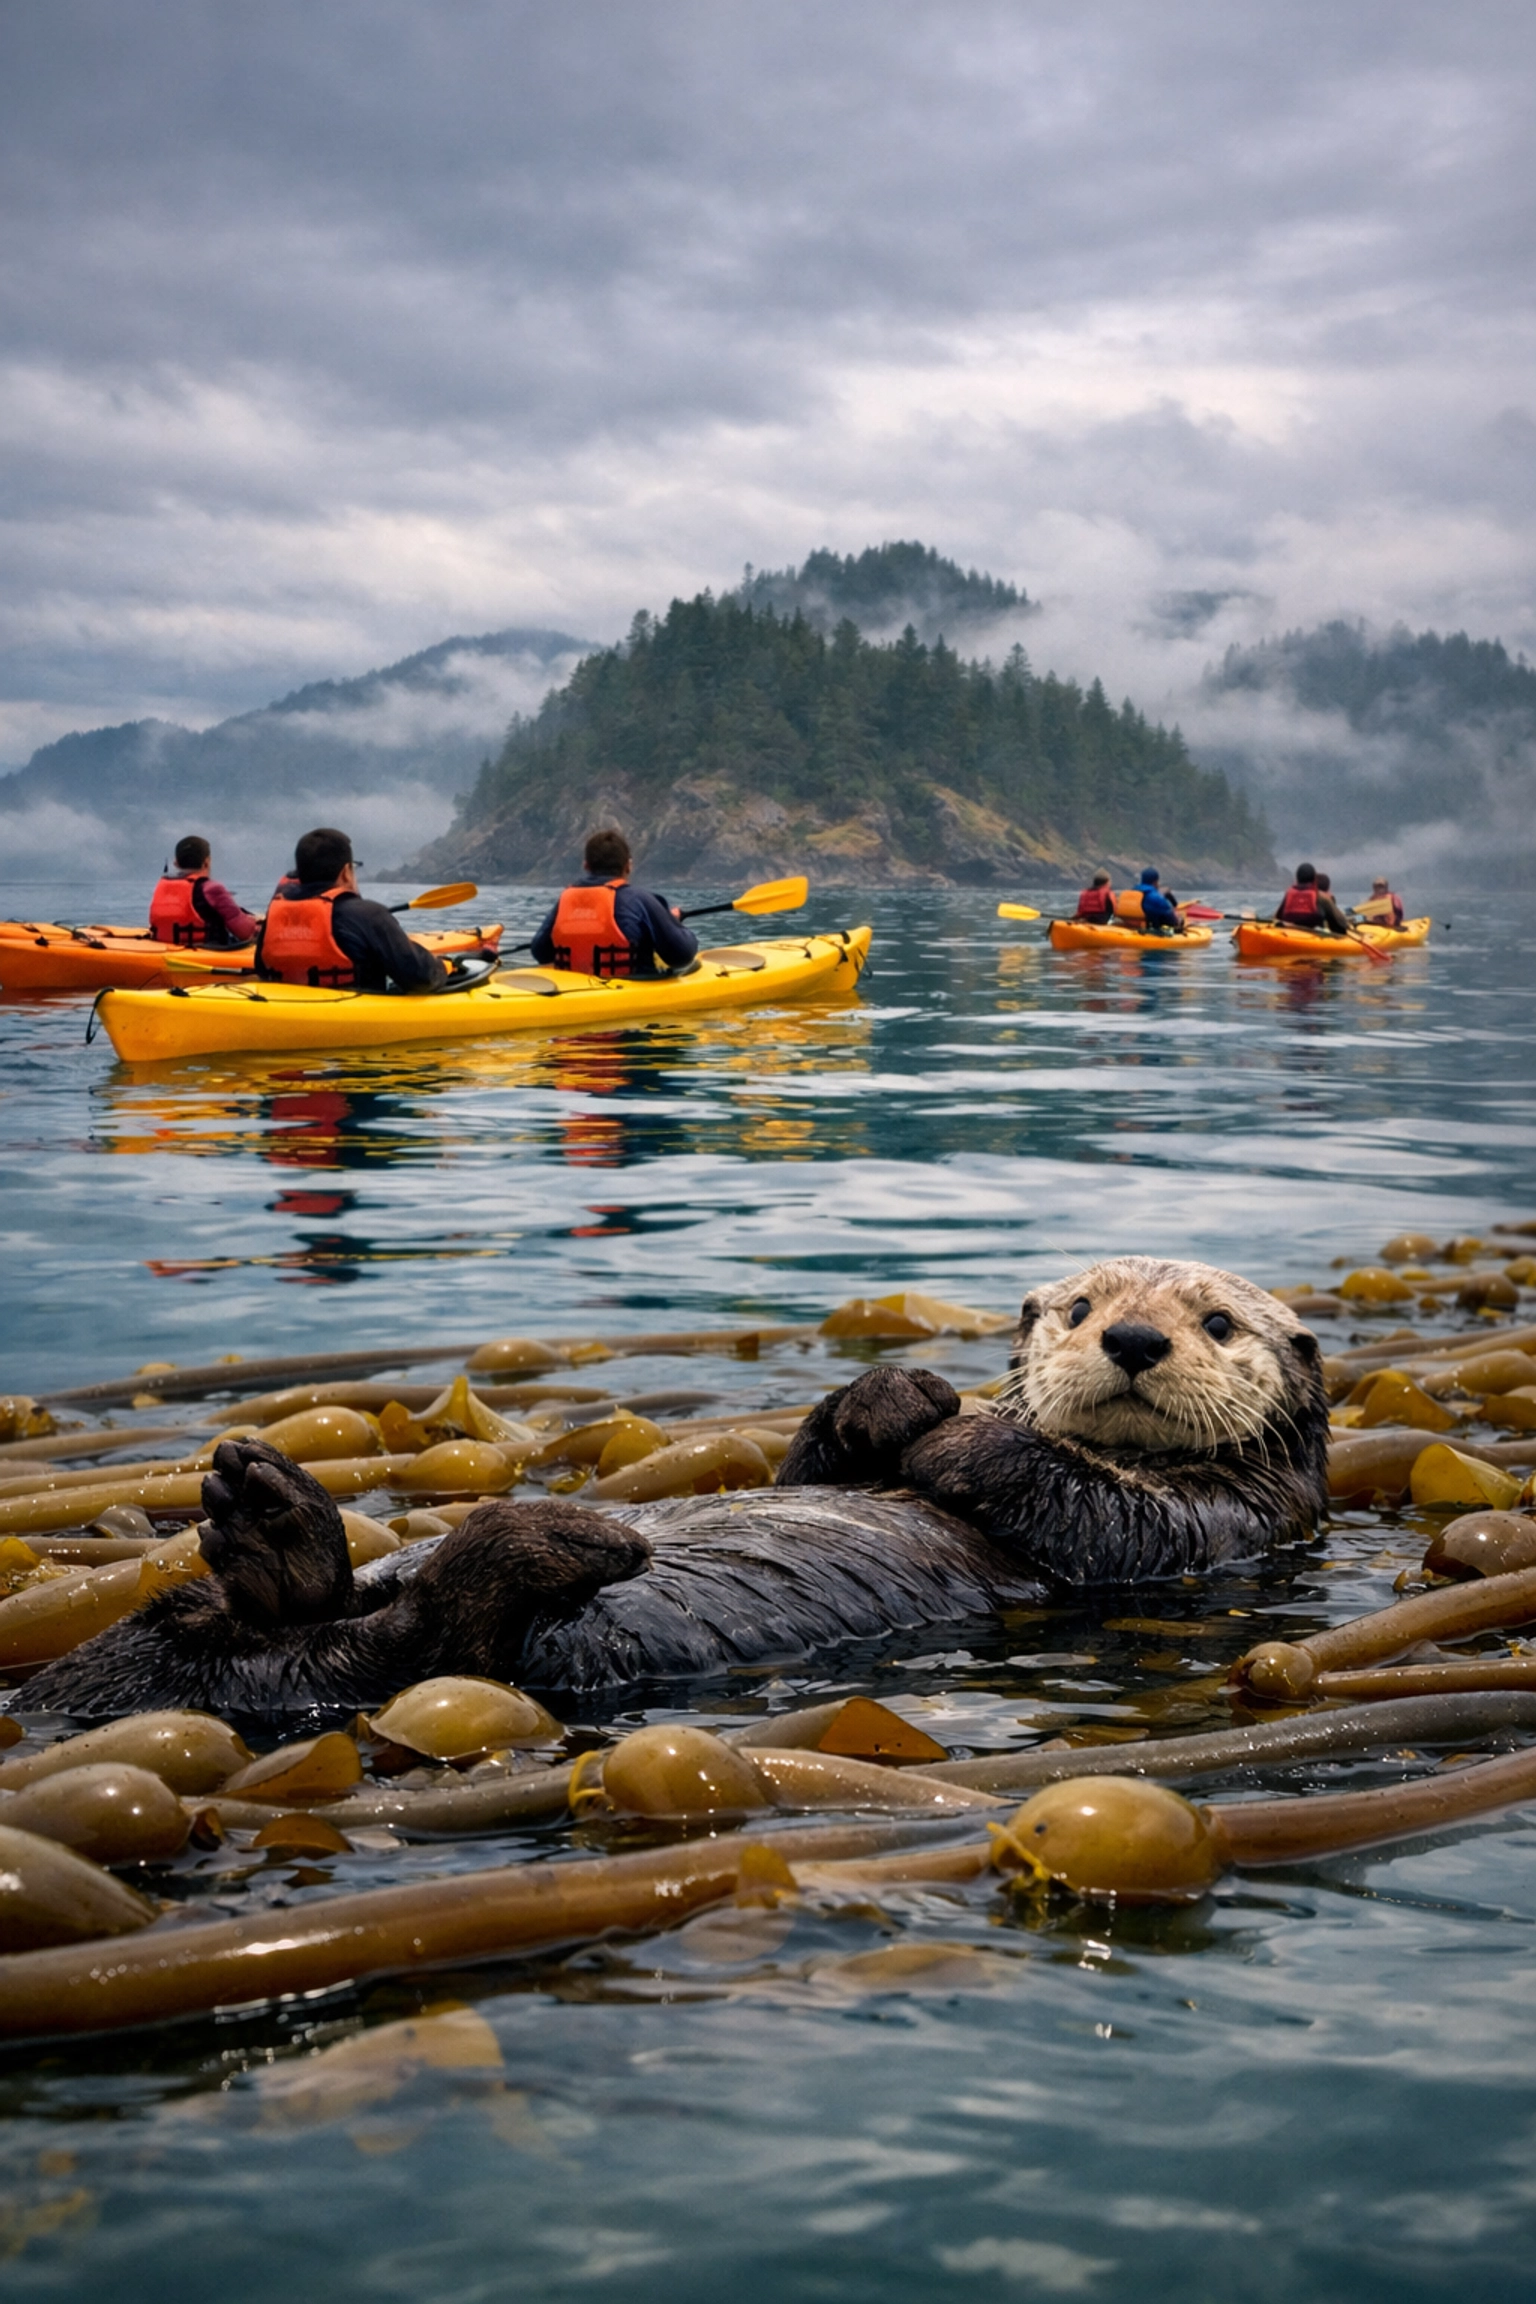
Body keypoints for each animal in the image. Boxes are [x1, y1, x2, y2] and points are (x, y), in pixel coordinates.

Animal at [25, 1257, 1328, 1718]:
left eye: (1216, 1321)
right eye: (1078, 1307)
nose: (1133, 1342)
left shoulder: (1231, 1519)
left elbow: (1096, 1511)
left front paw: (951, 1440)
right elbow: (830, 1460)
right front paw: (895, 1400)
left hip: (452, 1656)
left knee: (433, 1639)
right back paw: (265, 1519)